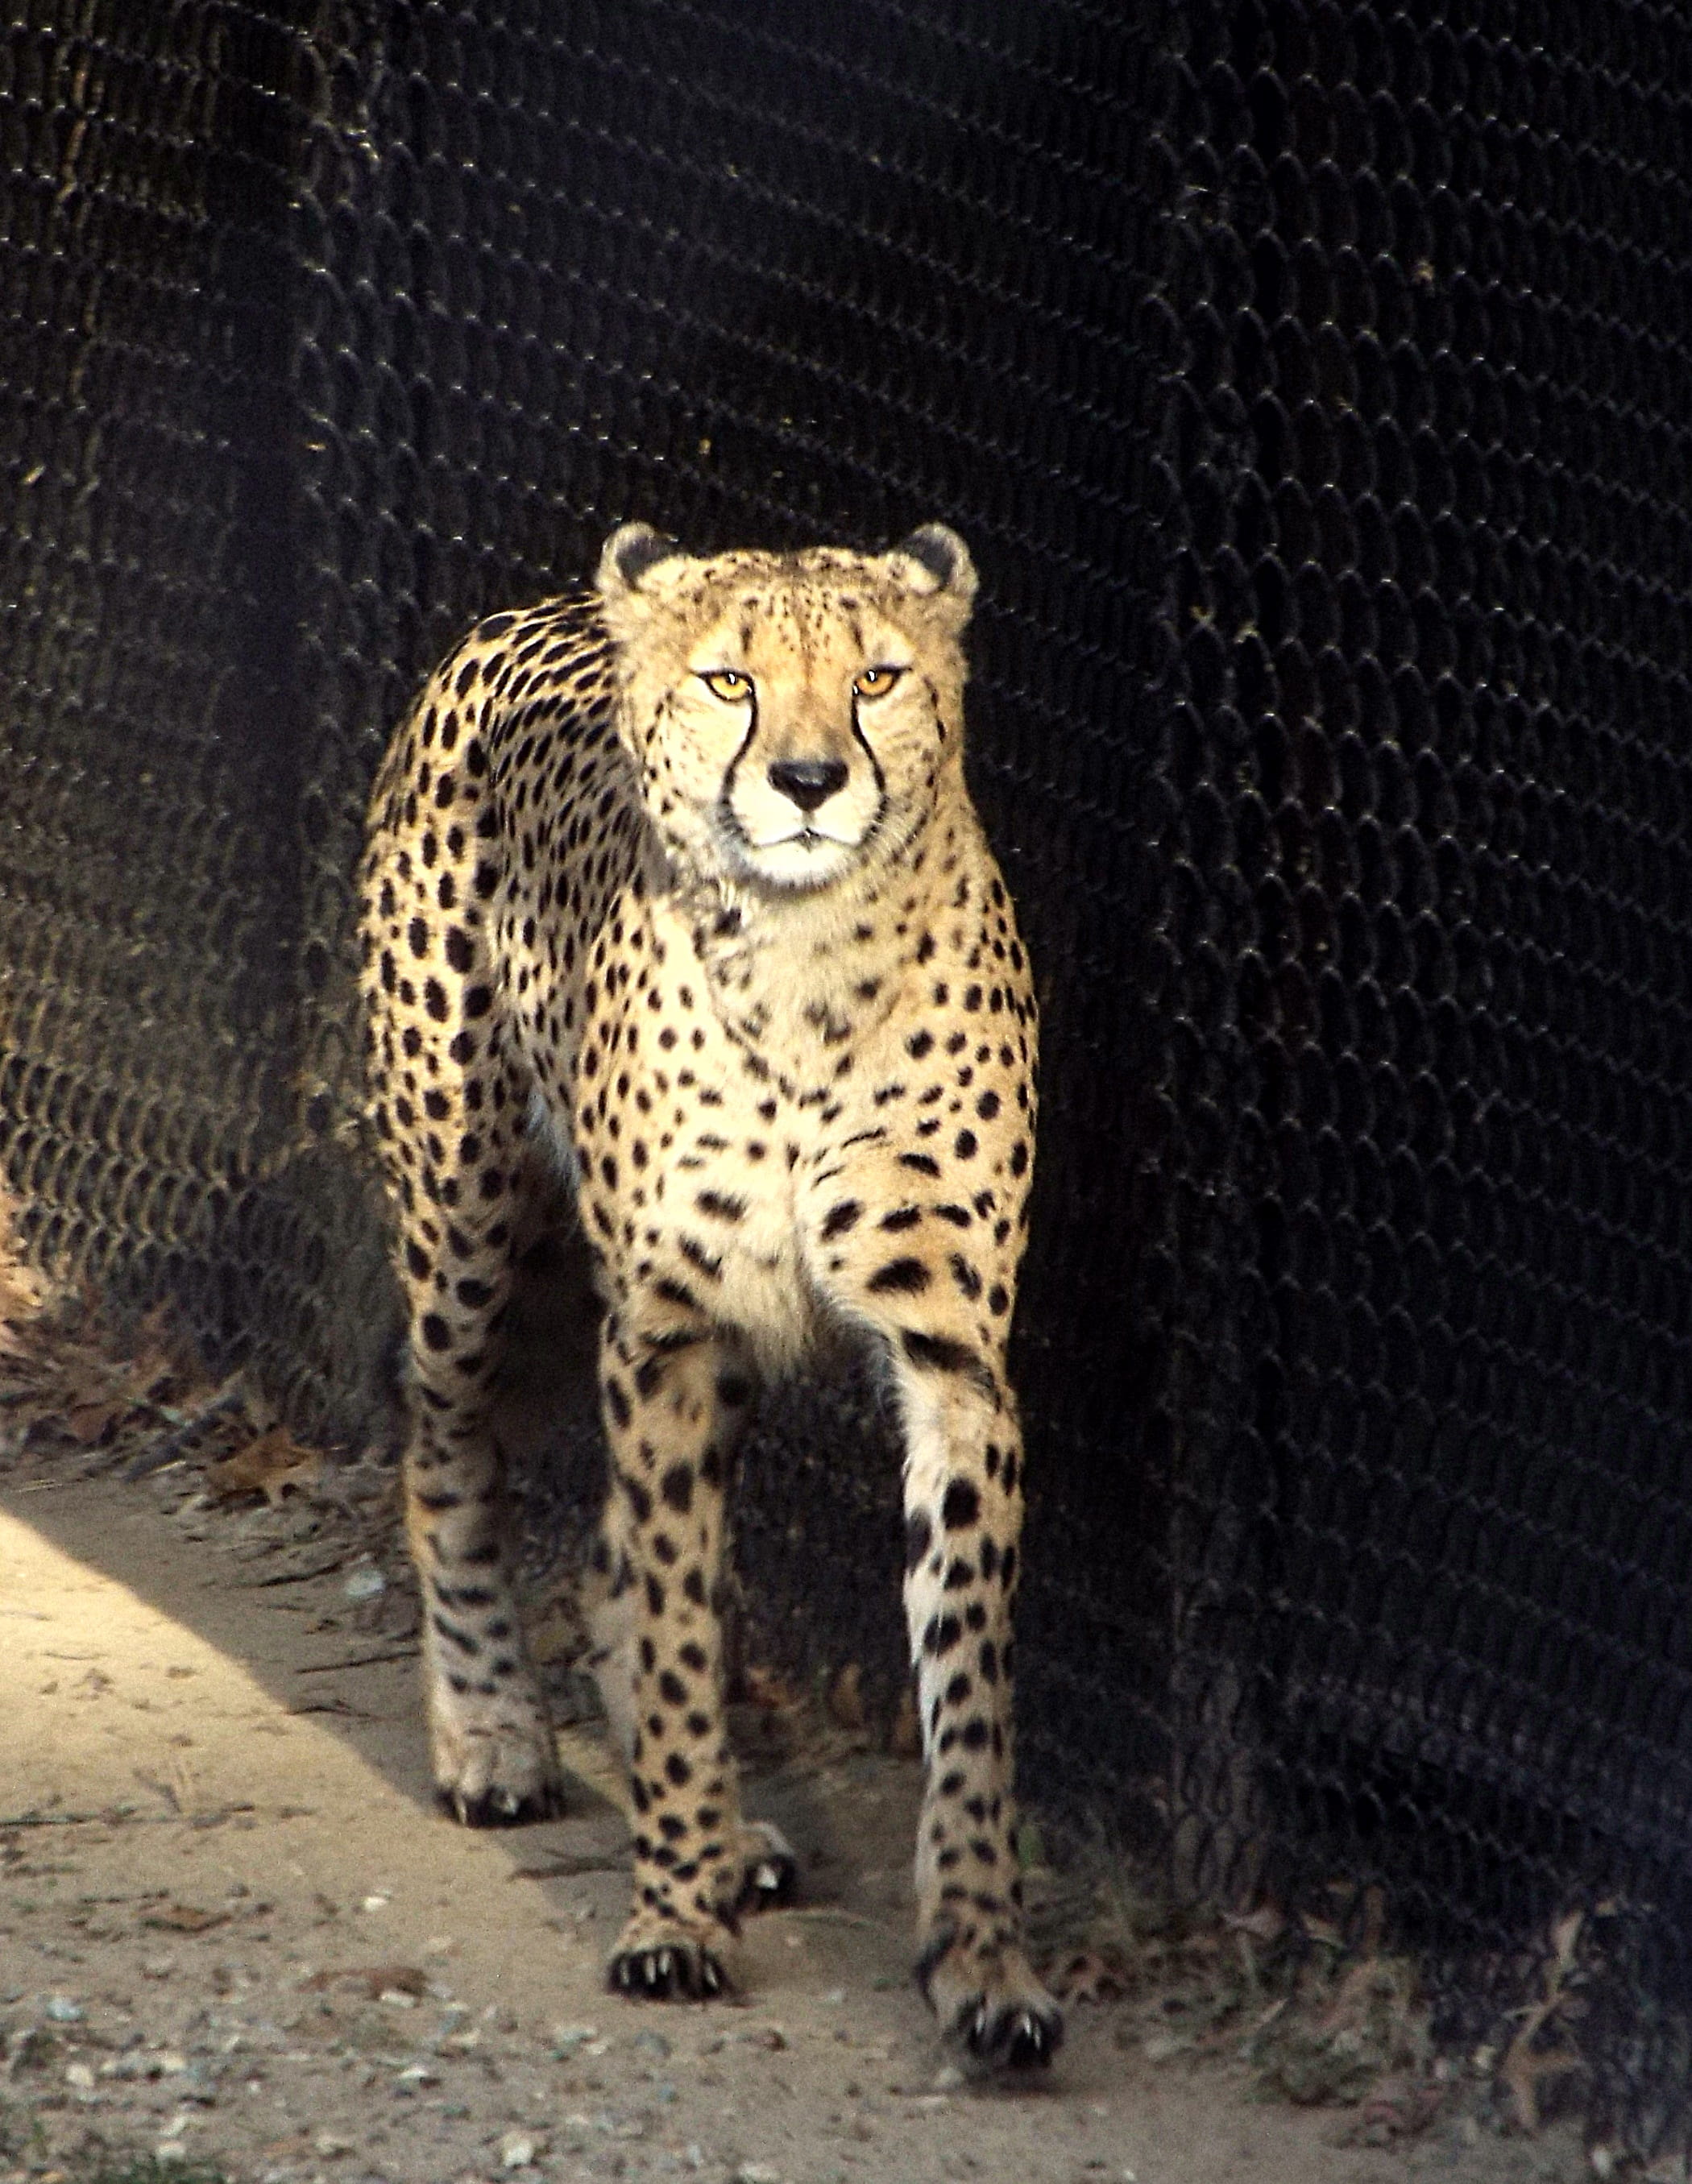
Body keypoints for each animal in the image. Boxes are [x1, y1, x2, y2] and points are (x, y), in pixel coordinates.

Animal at [358, 519, 1061, 2070]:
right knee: (446, 1451)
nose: (806, 782)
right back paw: (493, 1736)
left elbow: (969, 1680)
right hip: (476, 1233)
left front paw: (983, 1960)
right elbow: (685, 1634)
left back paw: (731, 1834)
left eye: (877, 677)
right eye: (730, 680)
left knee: (613, 1552)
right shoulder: (665, 1327)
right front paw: (671, 1913)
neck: (804, 958)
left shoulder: (952, 1353)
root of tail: (530, 607)